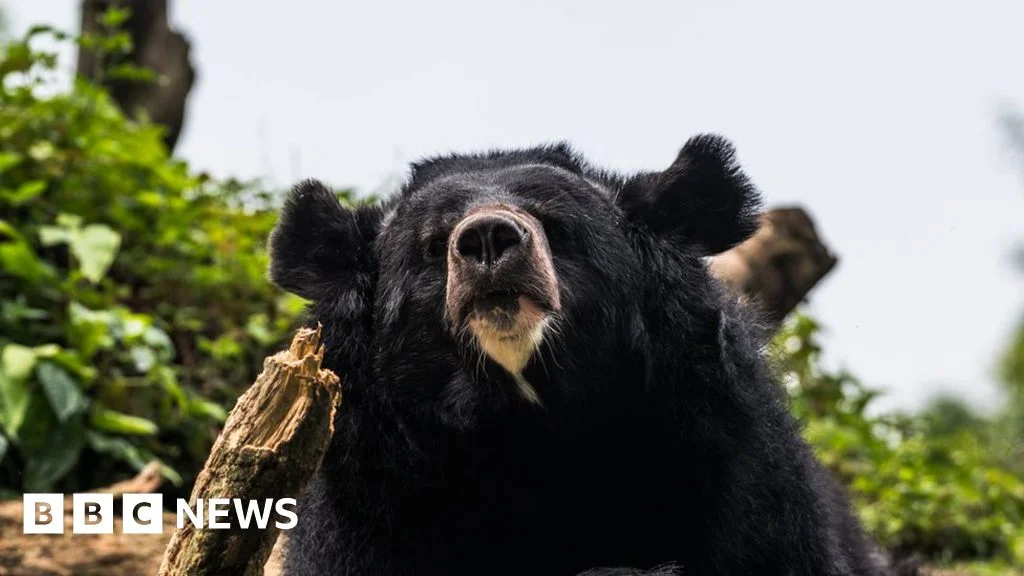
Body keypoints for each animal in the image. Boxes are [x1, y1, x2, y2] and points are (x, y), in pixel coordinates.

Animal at [268, 134, 888, 576]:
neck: (528, 426)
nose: (487, 238)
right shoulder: (371, 497)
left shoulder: (734, 463)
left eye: (556, 226)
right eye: (432, 244)